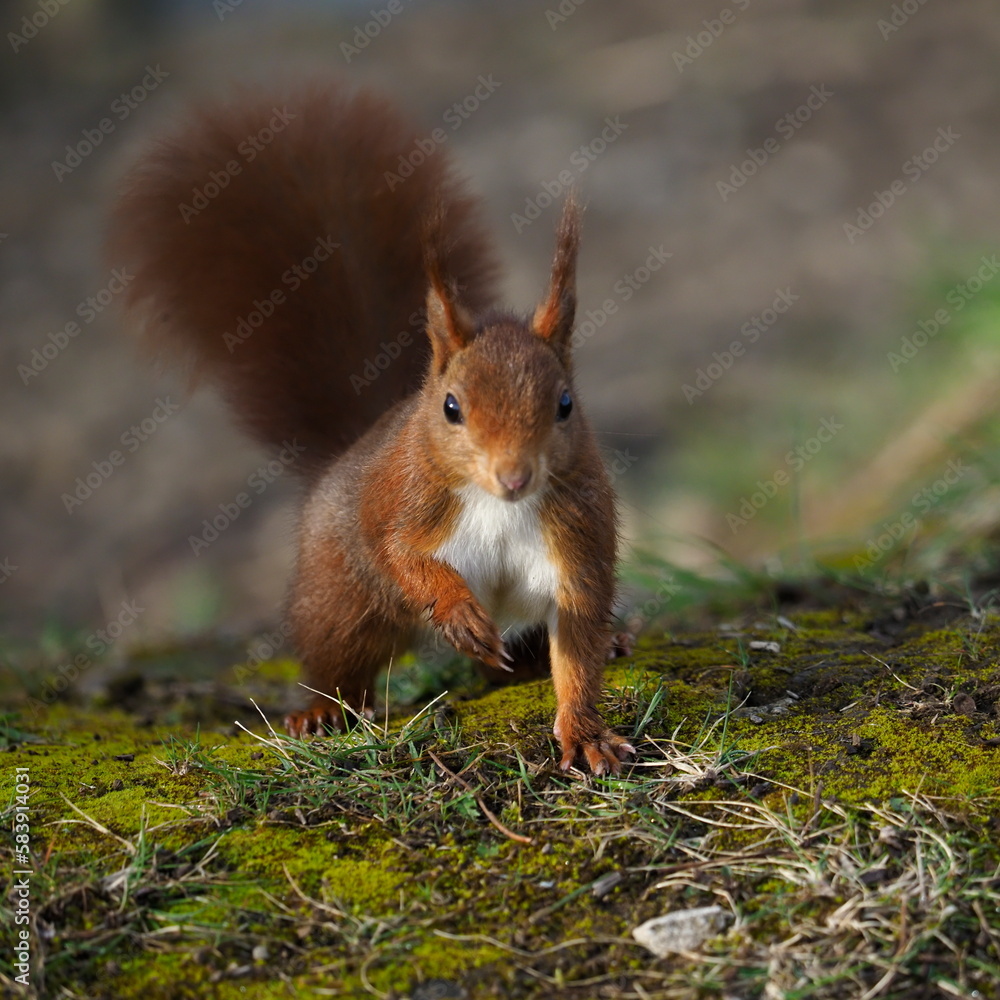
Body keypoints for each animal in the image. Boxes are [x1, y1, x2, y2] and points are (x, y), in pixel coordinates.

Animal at [107, 82, 632, 776]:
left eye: (566, 404)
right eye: (452, 408)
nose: (515, 476)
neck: (498, 505)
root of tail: (348, 450)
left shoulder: (576, 542)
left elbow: (577, 647)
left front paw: (586, 732)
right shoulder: (399, 502)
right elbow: (397, 554)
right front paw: (456, 611)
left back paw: (606, 642)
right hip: (340, 597)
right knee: (339, 660)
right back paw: (320, 711)